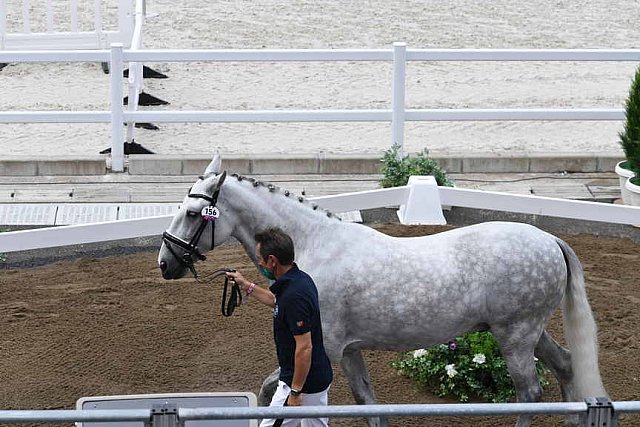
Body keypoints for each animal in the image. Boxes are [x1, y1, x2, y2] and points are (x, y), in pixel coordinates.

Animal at [158, 155, 608, 426]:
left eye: (194, 212)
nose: (165, 263)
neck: (316, 246)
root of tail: (549, 240)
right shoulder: (350, 351)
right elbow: (370, 404)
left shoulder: (324, 349)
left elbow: (276, 389)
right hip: (529, 332)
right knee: (566, 367)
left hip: (514, 336)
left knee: (529, 391)